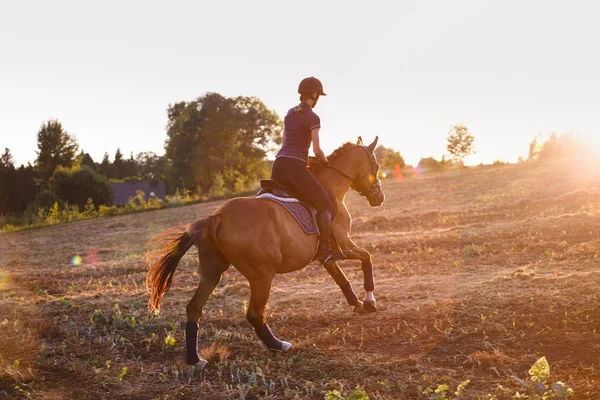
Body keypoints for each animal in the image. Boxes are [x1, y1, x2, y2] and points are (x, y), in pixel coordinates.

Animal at [148, 136, 386, 368]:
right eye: (376, 166)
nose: (379, 198)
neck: (331, 186)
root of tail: (217, 217)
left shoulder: (325, 256)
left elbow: (341, 279)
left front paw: (358, 304)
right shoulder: (344, 244)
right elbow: (366, 258)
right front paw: (370, 300)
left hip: (212, 272)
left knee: (194, 308)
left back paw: (195, 360)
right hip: (261, 276)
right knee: (254, 314)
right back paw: (278, 345)